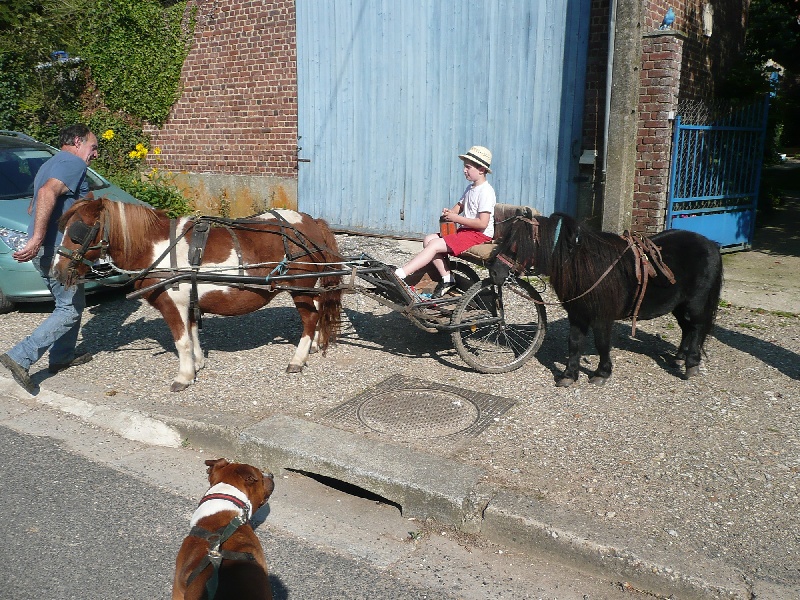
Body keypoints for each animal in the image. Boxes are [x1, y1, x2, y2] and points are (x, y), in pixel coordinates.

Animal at [53, 196, 343, 391]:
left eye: (78, 231)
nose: (56, 270)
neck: (156, 246)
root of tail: (311, 223)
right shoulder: (190, 301)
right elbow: (192, 334)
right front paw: (196, 364)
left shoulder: (173, 305)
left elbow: (181, 340)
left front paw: (183, 376)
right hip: (306, 285)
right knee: (318, 309)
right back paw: (314, 344)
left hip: (298, 287)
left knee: (309, 318)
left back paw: (298, 359)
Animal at [489, 211, 723, 386]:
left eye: (517, 245)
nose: (494, 272)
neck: (586, 265)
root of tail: (711, 244)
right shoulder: (578, 315)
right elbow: (574, 343)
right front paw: (569, 375)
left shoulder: (602, 317)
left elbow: (601, 343)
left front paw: (602, 373)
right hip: (679, 305)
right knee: (687, 329)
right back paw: (679, 358)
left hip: (695, 304)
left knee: (697, 328)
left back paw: (691, 363)